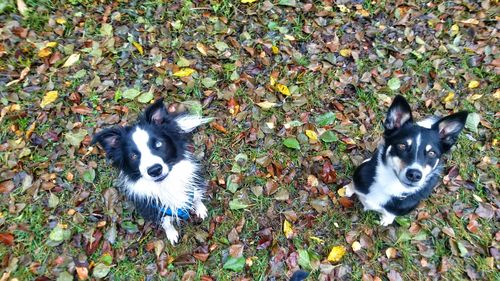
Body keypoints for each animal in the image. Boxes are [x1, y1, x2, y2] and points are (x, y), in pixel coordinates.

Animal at [93, 98, 210, 243]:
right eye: (133, 156)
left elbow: (196, 197)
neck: (166, 184)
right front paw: (171, 233)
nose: (155, 170)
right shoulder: (154, 208)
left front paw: (201, 209)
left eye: (158, 144)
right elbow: (166, 222)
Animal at [348, 95, 468, 224]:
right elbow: (352, 185)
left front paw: (386, 220)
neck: (390, 186)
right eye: (402, 146)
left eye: (431, 153)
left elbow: (389, 214)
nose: (414, 175)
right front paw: (348, 189)